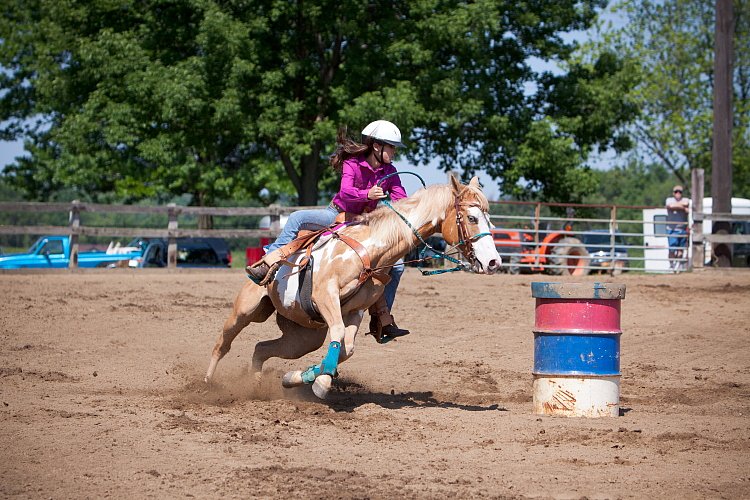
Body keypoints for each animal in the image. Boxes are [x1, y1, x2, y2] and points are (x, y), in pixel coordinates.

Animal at [203, 176, 502, 398]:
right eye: (472, 218)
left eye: (490, 220)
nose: (494, 262)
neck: (371, 249)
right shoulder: (325, 295)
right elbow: (338, 335)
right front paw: (320, 383)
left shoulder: (355, 311)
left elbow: (346, 348)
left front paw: (301, 377)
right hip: (246, 310)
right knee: (222, 343)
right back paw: (206, 384)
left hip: (303, 337)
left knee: (261, 349)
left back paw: (255, 386)